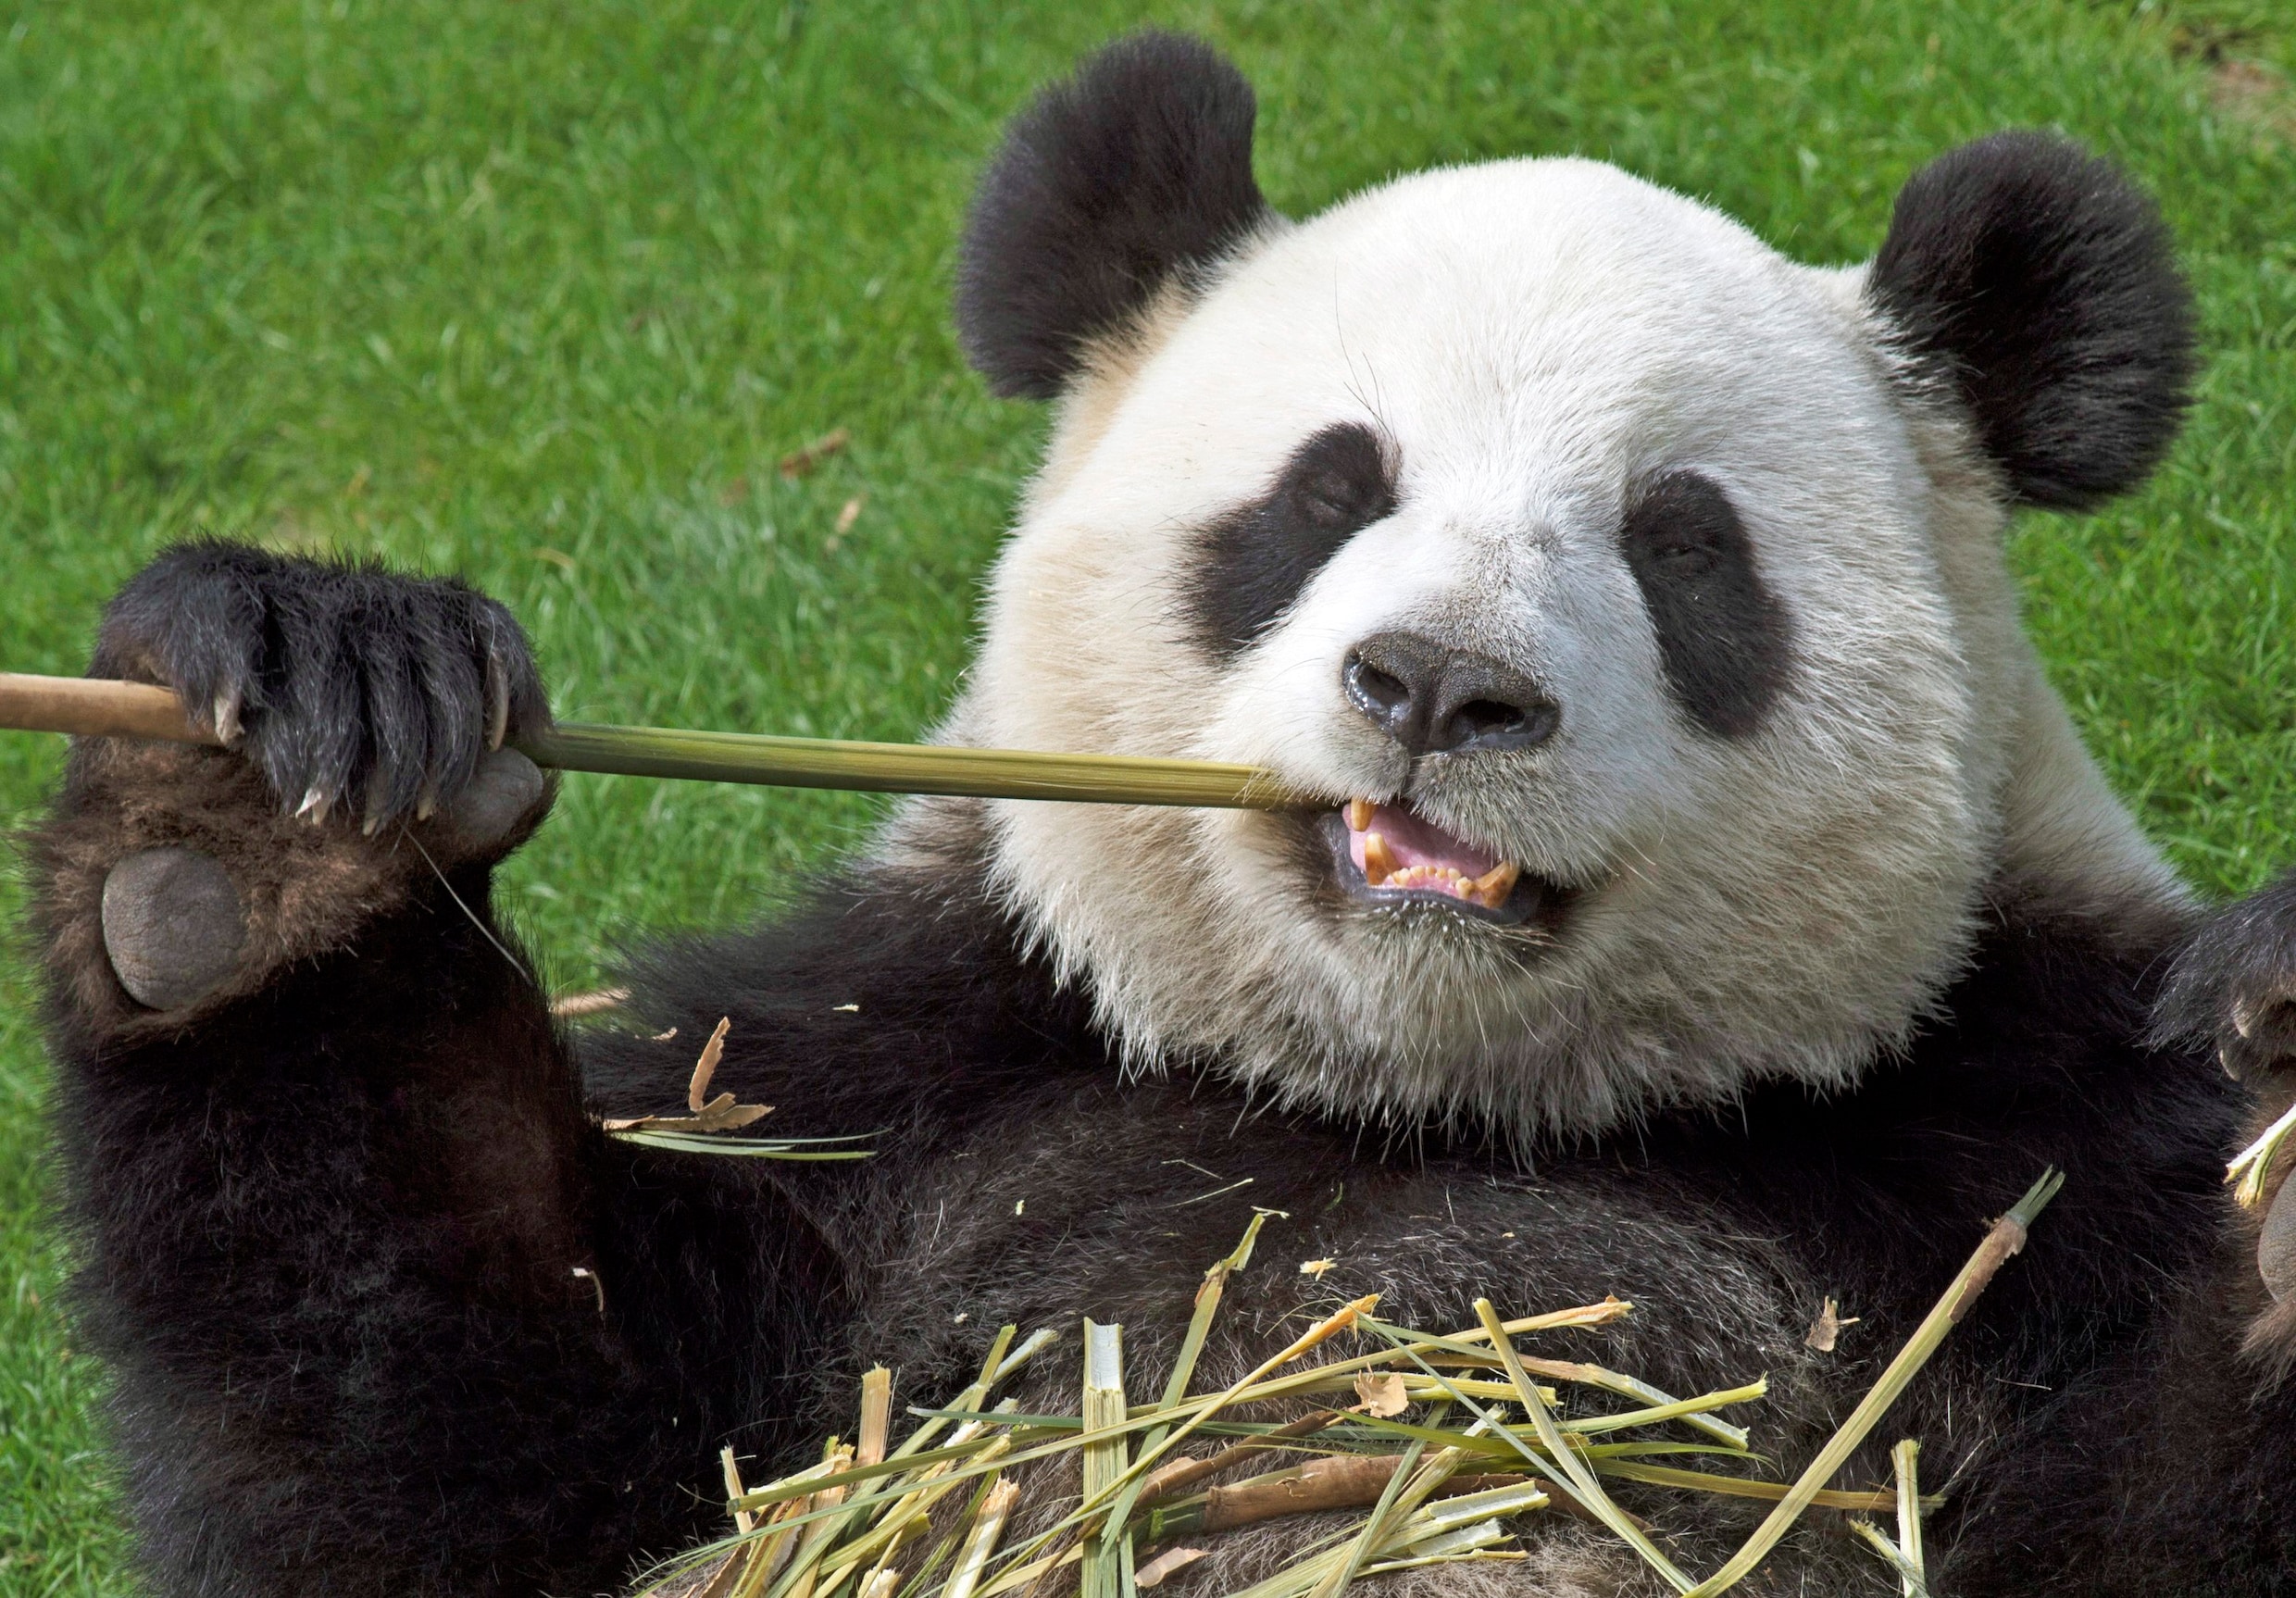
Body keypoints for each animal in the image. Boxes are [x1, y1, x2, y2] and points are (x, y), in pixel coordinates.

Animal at [32, 28, 2296, 1598]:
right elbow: (443, 1464)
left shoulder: (2018, 1123)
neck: (1421, 1098)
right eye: (1323, 493)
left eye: (1682, 547)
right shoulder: (890, 1076)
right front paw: (263, 804)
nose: (1439, 686)